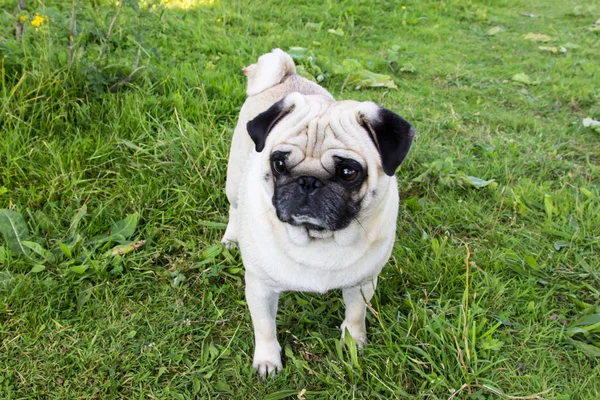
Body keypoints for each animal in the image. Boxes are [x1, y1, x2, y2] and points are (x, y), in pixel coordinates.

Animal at [223, 48, 414, 376]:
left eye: (349, 172)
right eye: (279, 164)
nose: (308, 182)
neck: (319, 239)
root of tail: (287, 74)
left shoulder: (362, 283)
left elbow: (356, 315)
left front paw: (353, 342)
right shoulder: (260, 288)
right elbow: (265, 327)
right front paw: (267, 361)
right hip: (233, 178)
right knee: (234, 208)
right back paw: (230, 238)